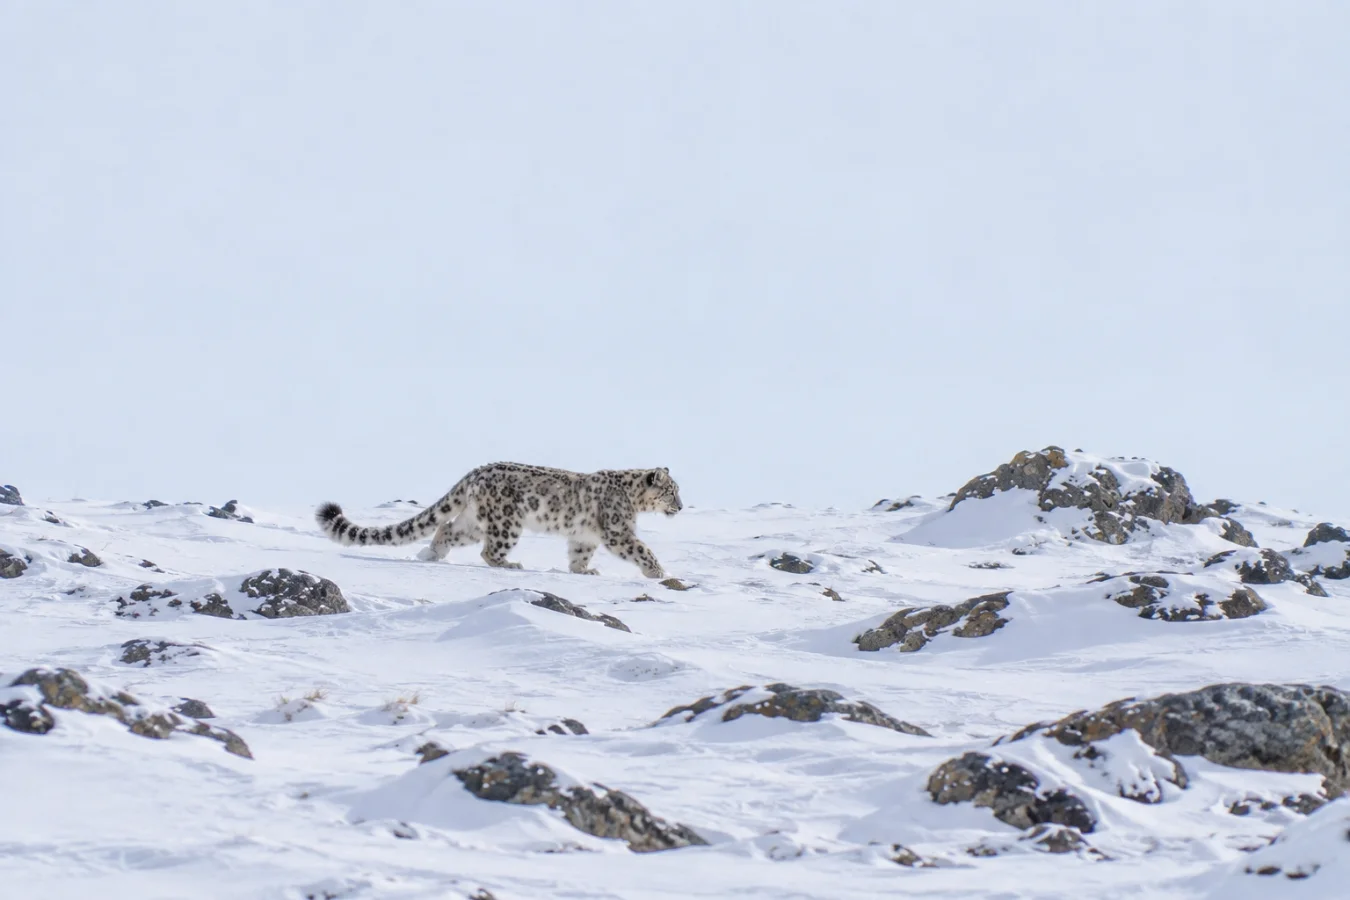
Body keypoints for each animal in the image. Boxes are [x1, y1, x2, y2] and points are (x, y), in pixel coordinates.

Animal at [315, 463, 683, 578]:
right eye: (671, 491)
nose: (680, 507)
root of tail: (475, 472)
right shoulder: (619, 531)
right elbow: (641, 549)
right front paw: (659, 573)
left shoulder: (585, 536)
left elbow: (579, 554)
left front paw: (585, 571)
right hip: (507, 523)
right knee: (488, 551)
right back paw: (510, 564)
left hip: (474, 522)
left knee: (446, 528)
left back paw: (432, 554)